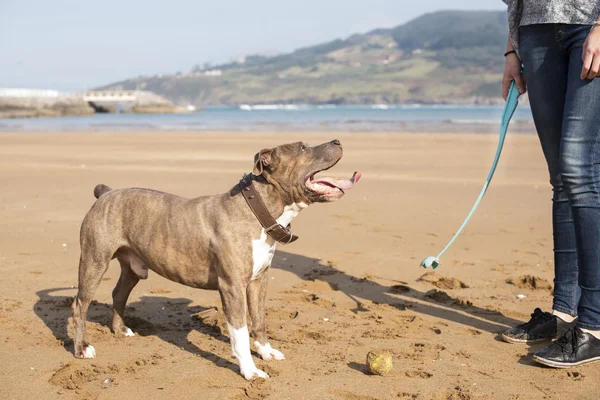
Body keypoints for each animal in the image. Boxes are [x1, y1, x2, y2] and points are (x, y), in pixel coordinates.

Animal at [70, 139, 360, 380]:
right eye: (303, 147)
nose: (337, 140)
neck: (258, 211)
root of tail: (107, 192)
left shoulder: (258, 280)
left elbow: (259, 320)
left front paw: (266, 352)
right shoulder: (232, 286)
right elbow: (240, 333)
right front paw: (250, 371)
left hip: (132, 266)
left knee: (119, 293)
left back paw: (120, 330)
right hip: (94, 260)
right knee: (80, 304)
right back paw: (82, 348)